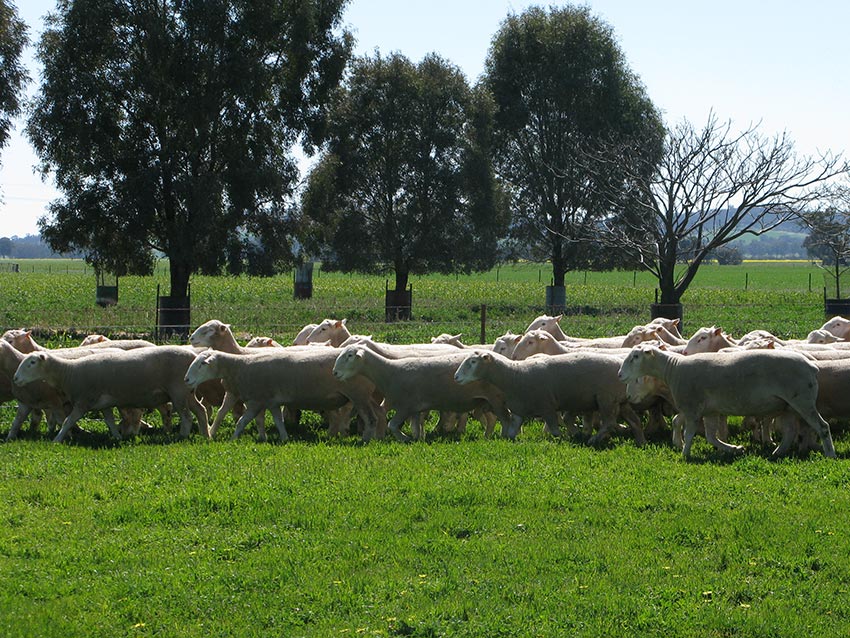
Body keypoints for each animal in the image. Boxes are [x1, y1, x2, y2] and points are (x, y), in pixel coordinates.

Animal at [13, 344, 209, 444]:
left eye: (31, 362)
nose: (15, 378)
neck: (69, 372)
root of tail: (193, 357)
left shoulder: (84, 401)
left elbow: (68, 421)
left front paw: (56, 440)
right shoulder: (103, 404)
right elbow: (110, 421)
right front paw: (117, 437)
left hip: (178, 391)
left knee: (186, 416)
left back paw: (182, 436)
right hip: (188, 391)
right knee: (201, 411)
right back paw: (205, 435)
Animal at [189, 344, 384, 444]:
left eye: (202, 364)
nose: (187, 380)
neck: (240, 366)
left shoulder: (256, 401)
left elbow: (242, 422)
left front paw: (233, 439)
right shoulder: (271, 401)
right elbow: (276, 421)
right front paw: (283, 438)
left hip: (358, 394)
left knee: (370, 418)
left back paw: (366, 440)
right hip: (366, 396)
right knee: (376, 414)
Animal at [328, 344, 506, 444]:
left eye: (349, 356)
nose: (335, 373)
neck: (390, 372)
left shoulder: (405, 406)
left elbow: (392, 425)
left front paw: (405, 439)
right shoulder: (415, 408)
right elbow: (415, 426)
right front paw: (417, 439)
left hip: (495, 398)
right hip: (484, 401)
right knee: (492, 419)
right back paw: (487, 436)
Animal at [454, 350, 640, 444]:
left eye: (473, 362)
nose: (456, 377)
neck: (515, 375)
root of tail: (622, 367)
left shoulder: (547, 406)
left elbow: (555, 431)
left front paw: (562, 439)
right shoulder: (519, 410)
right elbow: (511, 433)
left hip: (606, 398)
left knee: (609, 422)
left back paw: (593, 439)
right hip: (620, 400)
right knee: (634, 420)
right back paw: (638, 439)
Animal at [612, 344, 832, 460]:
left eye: (636, 356)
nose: (620, 374)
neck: (673, 368)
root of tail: (812, 367)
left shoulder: (692, 407)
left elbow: (689, 433)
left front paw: (684, 454)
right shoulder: (710, 411)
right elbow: (711, 437)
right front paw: (735, 449)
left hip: (802, 400)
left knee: (822, 426)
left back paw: (830, 454)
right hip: (788, 405)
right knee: (790, 432)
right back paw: (776, 453)